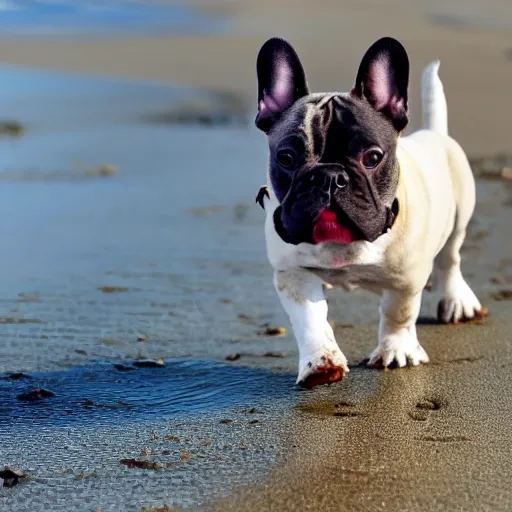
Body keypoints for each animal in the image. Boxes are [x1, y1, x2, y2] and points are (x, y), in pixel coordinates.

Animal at [254, 36, 486, 388]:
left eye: (372, 157)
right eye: (286, 157)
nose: (330, 175)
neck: (344, 245)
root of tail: (435, 133)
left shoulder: (406, 279)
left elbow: (397, 313)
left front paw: (396, 350)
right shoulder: (292, 274)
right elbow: (310, 320)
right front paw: (321, 363)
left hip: (459, 216)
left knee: (450, 259)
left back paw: (457, 300)